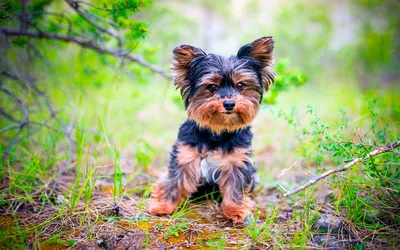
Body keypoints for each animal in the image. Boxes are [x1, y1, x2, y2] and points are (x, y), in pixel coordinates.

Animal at [147, 36, 276, 222]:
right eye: (212, 87)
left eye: (240, 85)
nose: (229, 103)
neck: (217, 131)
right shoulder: (185, 156)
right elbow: (175, 181)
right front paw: (163, 205)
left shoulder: (237, 160)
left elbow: (235, 187)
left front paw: (235, 210)